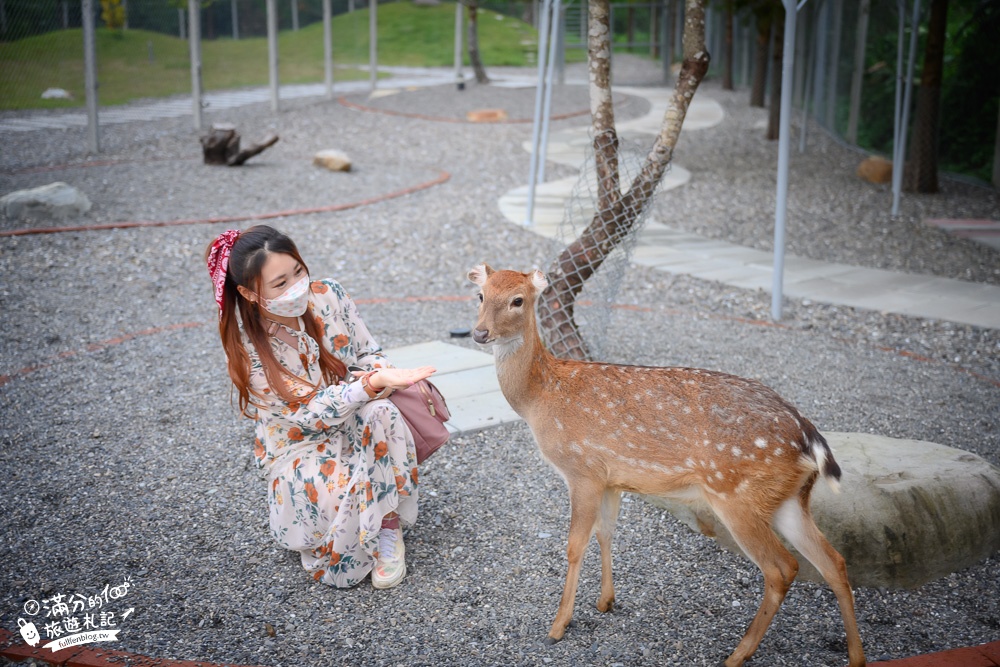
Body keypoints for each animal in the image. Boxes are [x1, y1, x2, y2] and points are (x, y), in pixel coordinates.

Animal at [468, 266, 868, 667]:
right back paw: (856, 657)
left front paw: (558, 626)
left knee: (782, 568)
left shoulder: (582, 469)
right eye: (481, 295)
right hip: (789, 497)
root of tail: (808, 436)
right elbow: (606, 532)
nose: (479, 332)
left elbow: (574, 545)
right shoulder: (611, 478)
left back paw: (737, 654)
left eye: (518, 300)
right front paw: (605, 601)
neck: (540, 399)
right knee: (834, 561)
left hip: (735, 493)